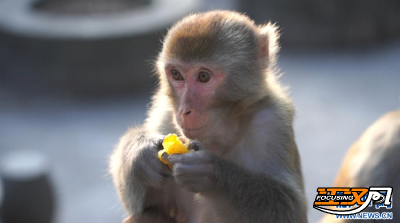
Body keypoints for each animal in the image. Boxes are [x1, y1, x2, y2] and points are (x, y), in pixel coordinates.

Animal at [111, 10, 308, 223]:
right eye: (176, 74)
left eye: (203, 76)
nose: (184, 110)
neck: (220, 140)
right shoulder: (165, 114)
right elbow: (144, 205)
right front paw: (140, 151)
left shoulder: (273, 121)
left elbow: (290, 208)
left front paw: (212, 174)